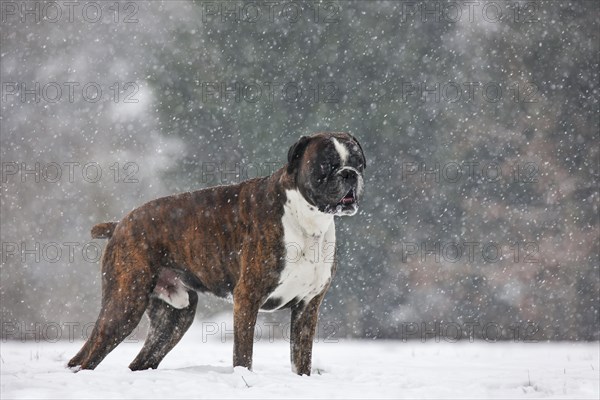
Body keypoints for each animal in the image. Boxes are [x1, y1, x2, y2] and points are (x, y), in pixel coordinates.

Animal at [67, 131, 366, 376]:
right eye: (327, 164)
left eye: (358, 162)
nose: (350, 173)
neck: (307, 221)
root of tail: (120, 224)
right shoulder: (247, 298)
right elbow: (243, 356)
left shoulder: (307, 307)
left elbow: (301, 361)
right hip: (125, 304)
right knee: (86, 358)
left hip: (173, 318)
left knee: (139, 361)